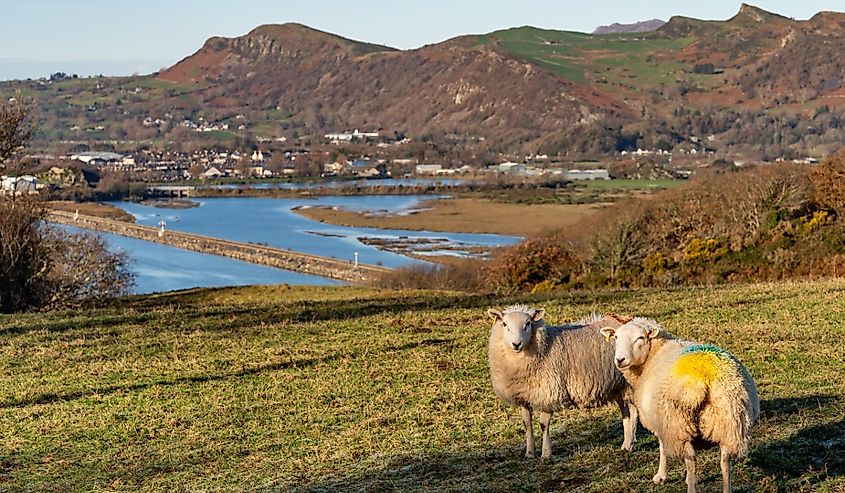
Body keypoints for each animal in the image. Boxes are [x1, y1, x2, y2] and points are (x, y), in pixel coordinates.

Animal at [484, 306, 636, 460]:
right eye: (504, 324)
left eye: (528, 323)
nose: (516, 344)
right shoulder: (524, 396)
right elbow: (527, 423)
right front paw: (529, 453)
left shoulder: (549, 393)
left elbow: (543, 424)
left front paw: (546, 454)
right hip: (618, 386)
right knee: (626, 412)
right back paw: (626, 444)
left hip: (629, 384)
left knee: (633, 412)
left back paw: (629, 444)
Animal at [596, 318, 760, 490]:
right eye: (616, 337)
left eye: (640, 338)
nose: (620, 360)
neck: (654, 352)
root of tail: (703, 377)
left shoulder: (661, 422)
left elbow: (662, 448)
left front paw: (660, 476)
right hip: (729, 422)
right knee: (725, 461)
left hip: (678, 422)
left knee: (691, 458)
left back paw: (691, 484)